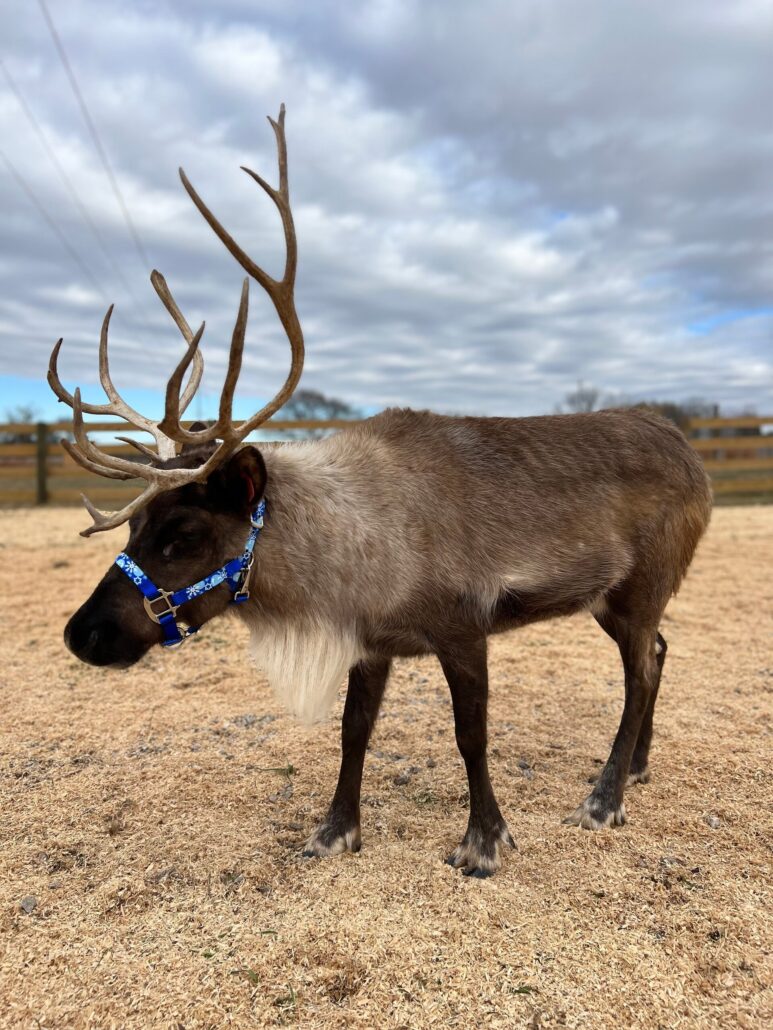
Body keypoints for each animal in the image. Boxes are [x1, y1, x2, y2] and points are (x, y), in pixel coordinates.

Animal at [49, 106, 712, 878]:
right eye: (132, 528)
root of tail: (691, 452)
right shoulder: (372, 642)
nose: (82, 632)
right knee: (659, 652)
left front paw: (484, 841)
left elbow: (470, 735)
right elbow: (352, 730)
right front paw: (335, 829)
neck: (351, 548)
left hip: (640, 585)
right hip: (613, 598)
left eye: (184, 534)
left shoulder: (464, 626)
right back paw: (634, 767)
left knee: (639, 672)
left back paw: (604, 800)